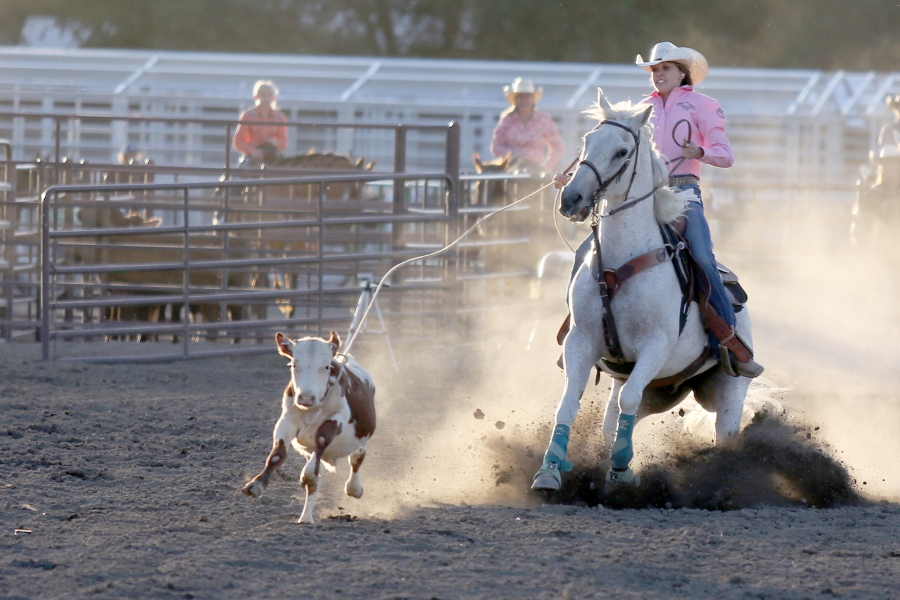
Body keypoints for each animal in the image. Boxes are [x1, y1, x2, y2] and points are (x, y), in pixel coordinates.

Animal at [241, 330, 374, 524]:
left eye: (326, 367)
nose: (306, 398)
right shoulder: (287, 421)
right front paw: (255, 484)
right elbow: (277, 455)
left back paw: (352, 488)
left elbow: (314, 466)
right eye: (294, 364)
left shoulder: (337, 419)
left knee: (357, 458)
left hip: (358, 439)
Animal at [536, 95, 752, 492]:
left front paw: (622, 470)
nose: (571, 197)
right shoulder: (580, 340)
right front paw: (549, 471)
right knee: (614, 418)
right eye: (587, 141)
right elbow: (569, 403)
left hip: (730, 392)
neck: (620, 264)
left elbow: (630, 399)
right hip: (654, 386)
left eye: (622, 151)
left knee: (725, 436)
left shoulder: (656, 345)